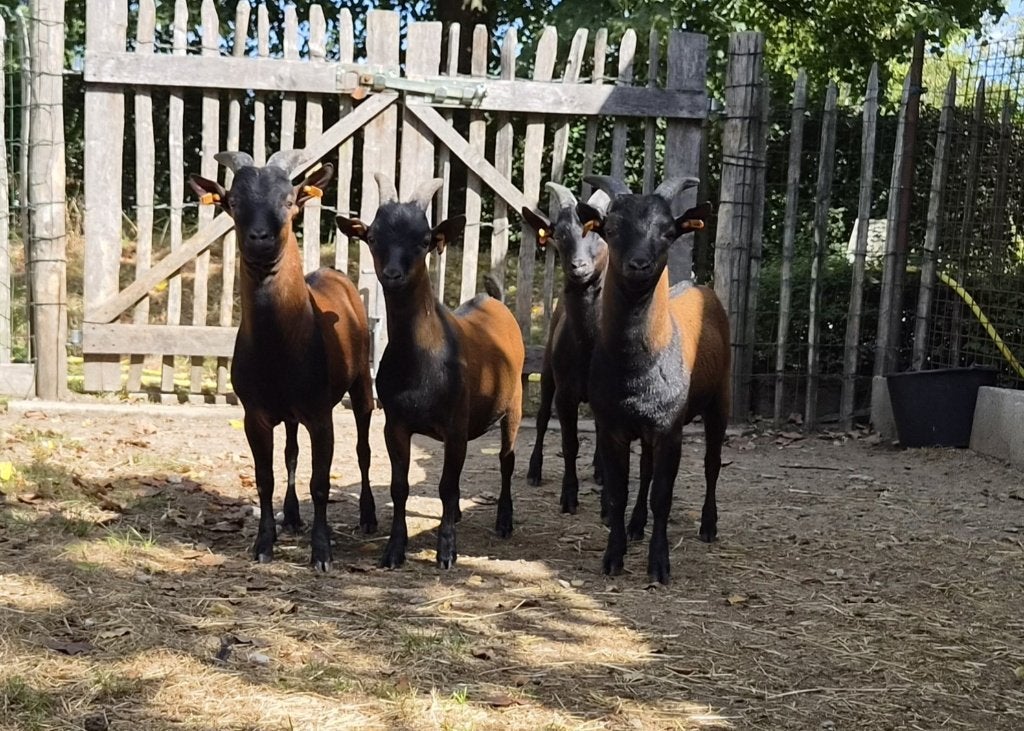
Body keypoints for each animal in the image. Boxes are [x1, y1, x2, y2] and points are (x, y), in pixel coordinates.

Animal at [189, 150, 375, 572]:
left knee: (364, 447)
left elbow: (321, 484)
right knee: (291, 451)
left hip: (361, 381)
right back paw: (291, 517)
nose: (261, 238)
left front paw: (322, 553)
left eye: (289, 201)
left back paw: (369, 517)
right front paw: (264, 544)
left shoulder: (320, 412)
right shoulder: (255, 413)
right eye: (234, 202)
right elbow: (266, 477)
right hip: (289, 411)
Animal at [336, 174, 525, 570]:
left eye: (424, 240)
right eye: (372, 237)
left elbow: (446, 486)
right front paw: (394, 550)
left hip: (513, 402)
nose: (393, 274)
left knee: (506, 459)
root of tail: (494, 300)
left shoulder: (454, 422)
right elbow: (400, 486)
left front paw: (446, 552)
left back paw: (504, 521)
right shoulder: (396, 423)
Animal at [579, 174, 728, 584]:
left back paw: (708, 526)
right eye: (611, 229)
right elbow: (618, 491)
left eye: (667, 232)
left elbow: (664, 495)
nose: (639, 264)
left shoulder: (669, 428)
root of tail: (698, 285)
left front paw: (659, 566)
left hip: (720, 400)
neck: (635, 369)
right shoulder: (612, 425)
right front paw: (613, 557)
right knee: (644, 470)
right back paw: (635, 525)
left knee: (712, 463)